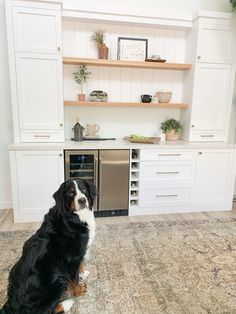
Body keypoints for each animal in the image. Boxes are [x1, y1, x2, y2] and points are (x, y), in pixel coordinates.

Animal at [0, 178, 96, 312]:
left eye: (84, 190)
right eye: (70, 193)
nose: (82, 200)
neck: (74, 216)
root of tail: (12, 303)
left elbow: (79, 267)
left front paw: (83, 273)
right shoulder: (73, 258)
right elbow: (74, 278)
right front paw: (78, 290)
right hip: (58, 283)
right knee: (45, 310)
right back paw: (67, 303)